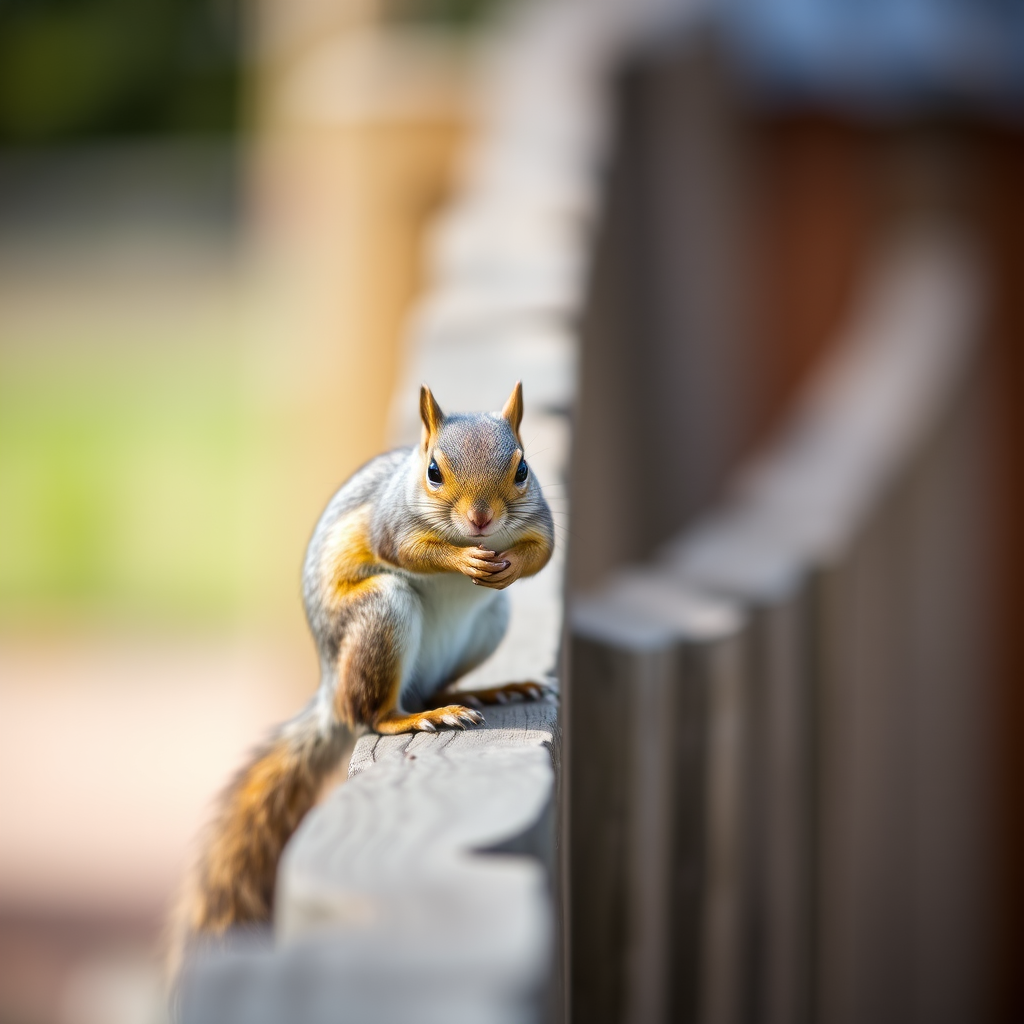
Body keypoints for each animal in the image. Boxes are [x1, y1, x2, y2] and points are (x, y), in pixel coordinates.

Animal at [167, 381, 554, 989]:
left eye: (522, 469)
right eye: (434, 471)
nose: (481, 520)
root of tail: (331, 686)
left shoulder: (541, 518)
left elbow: (542, 552)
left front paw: (510, 562)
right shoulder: (389, 523)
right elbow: (406, 548)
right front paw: (462, 557)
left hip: (490, 623)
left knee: (429, 686)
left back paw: (475, 693)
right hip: (382, 612)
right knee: (371, 713)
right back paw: (416, 716)